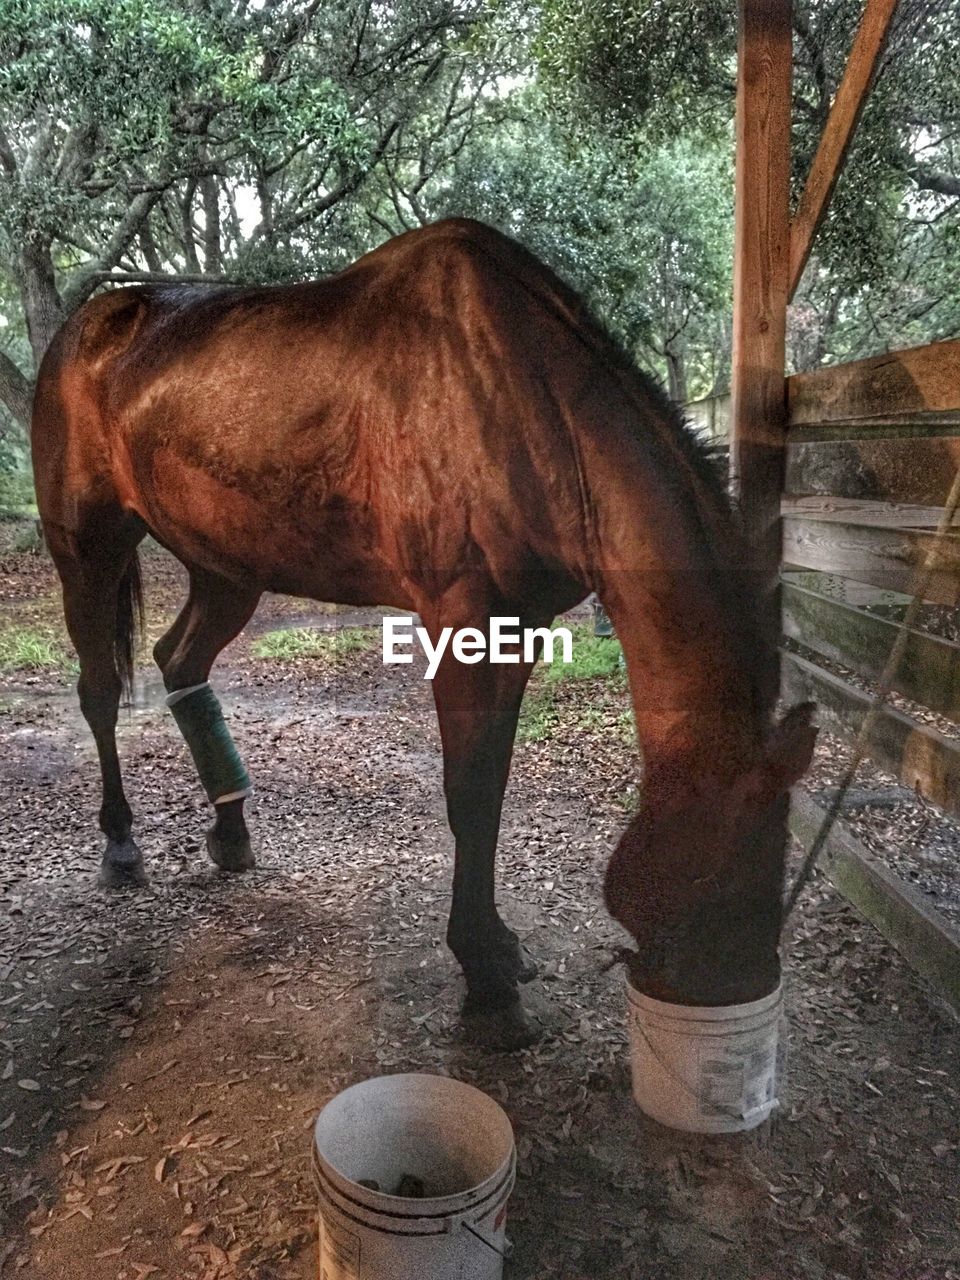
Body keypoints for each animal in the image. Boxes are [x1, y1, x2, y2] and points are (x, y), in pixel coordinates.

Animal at [32, 215, 814, 1044]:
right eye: (724, 877)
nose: (737, 991)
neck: (531, 405)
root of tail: (85, 329)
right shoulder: (460, 621)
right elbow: (467, 793)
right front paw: (485, 977)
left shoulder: (518, 627)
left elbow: (492, 786)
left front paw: (497, 945)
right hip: (87, 549)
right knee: (100, 690)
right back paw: (121, 845)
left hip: (226, 567)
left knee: (180, 662)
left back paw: (233, 831)